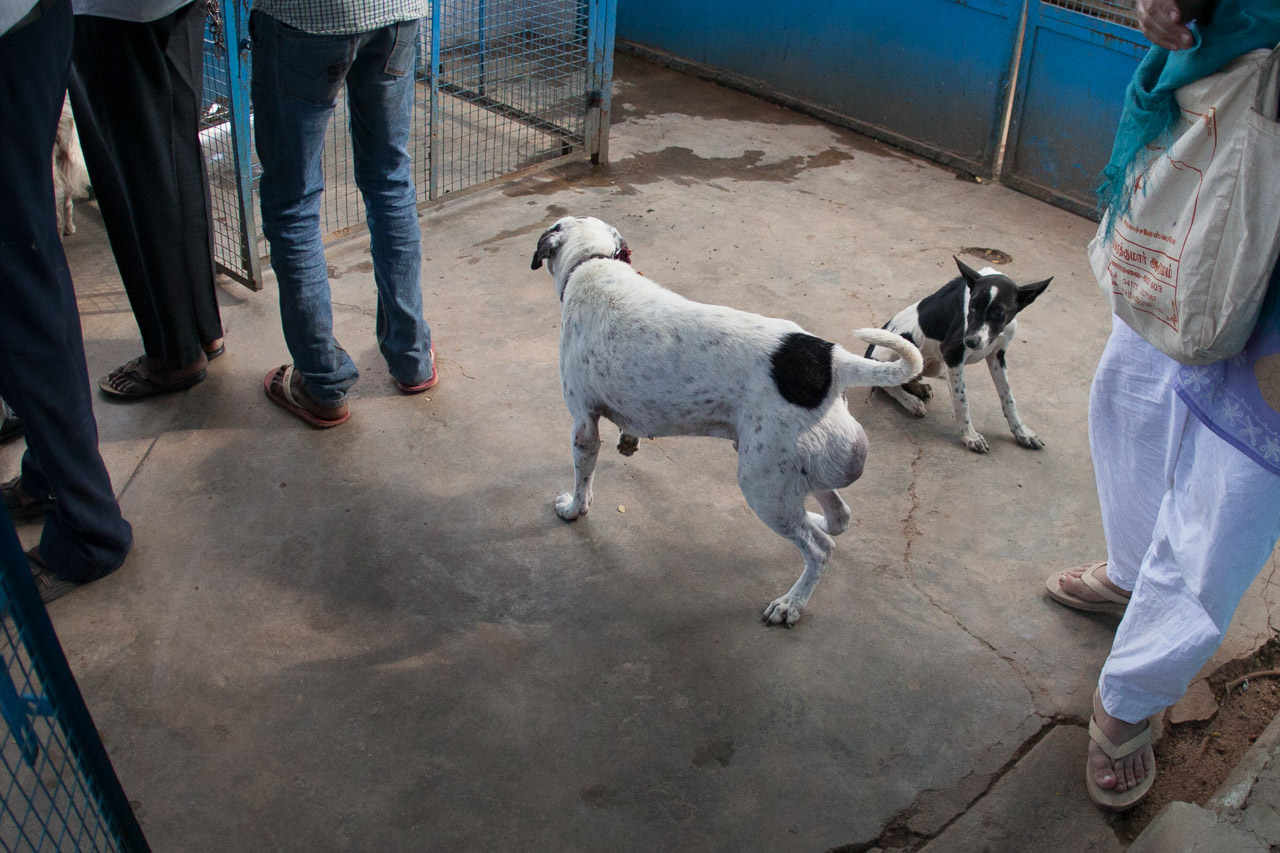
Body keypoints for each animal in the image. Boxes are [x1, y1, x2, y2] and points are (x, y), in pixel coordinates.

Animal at [532, 216, 924, 627]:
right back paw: (814, 523)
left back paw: (792, 603)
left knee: (820, 549)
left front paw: (573, 510)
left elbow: (583, 481)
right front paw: (628, 441)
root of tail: (832, 361)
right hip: (800, 470)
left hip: (761, 484)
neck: (591, 261)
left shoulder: (583, 424)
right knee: (838, 517)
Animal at [865, 257, 1051, 454]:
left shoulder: (997, 355)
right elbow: (961, 400)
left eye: (999, 312)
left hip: (936, 365)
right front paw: (970, 436)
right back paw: (910, 401)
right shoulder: (952, 353)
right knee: (887, 384)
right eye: (972, 306)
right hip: (897, 350)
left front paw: (1022, 432)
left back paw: (919, 388)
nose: (970, 342)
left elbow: (1008, 398)